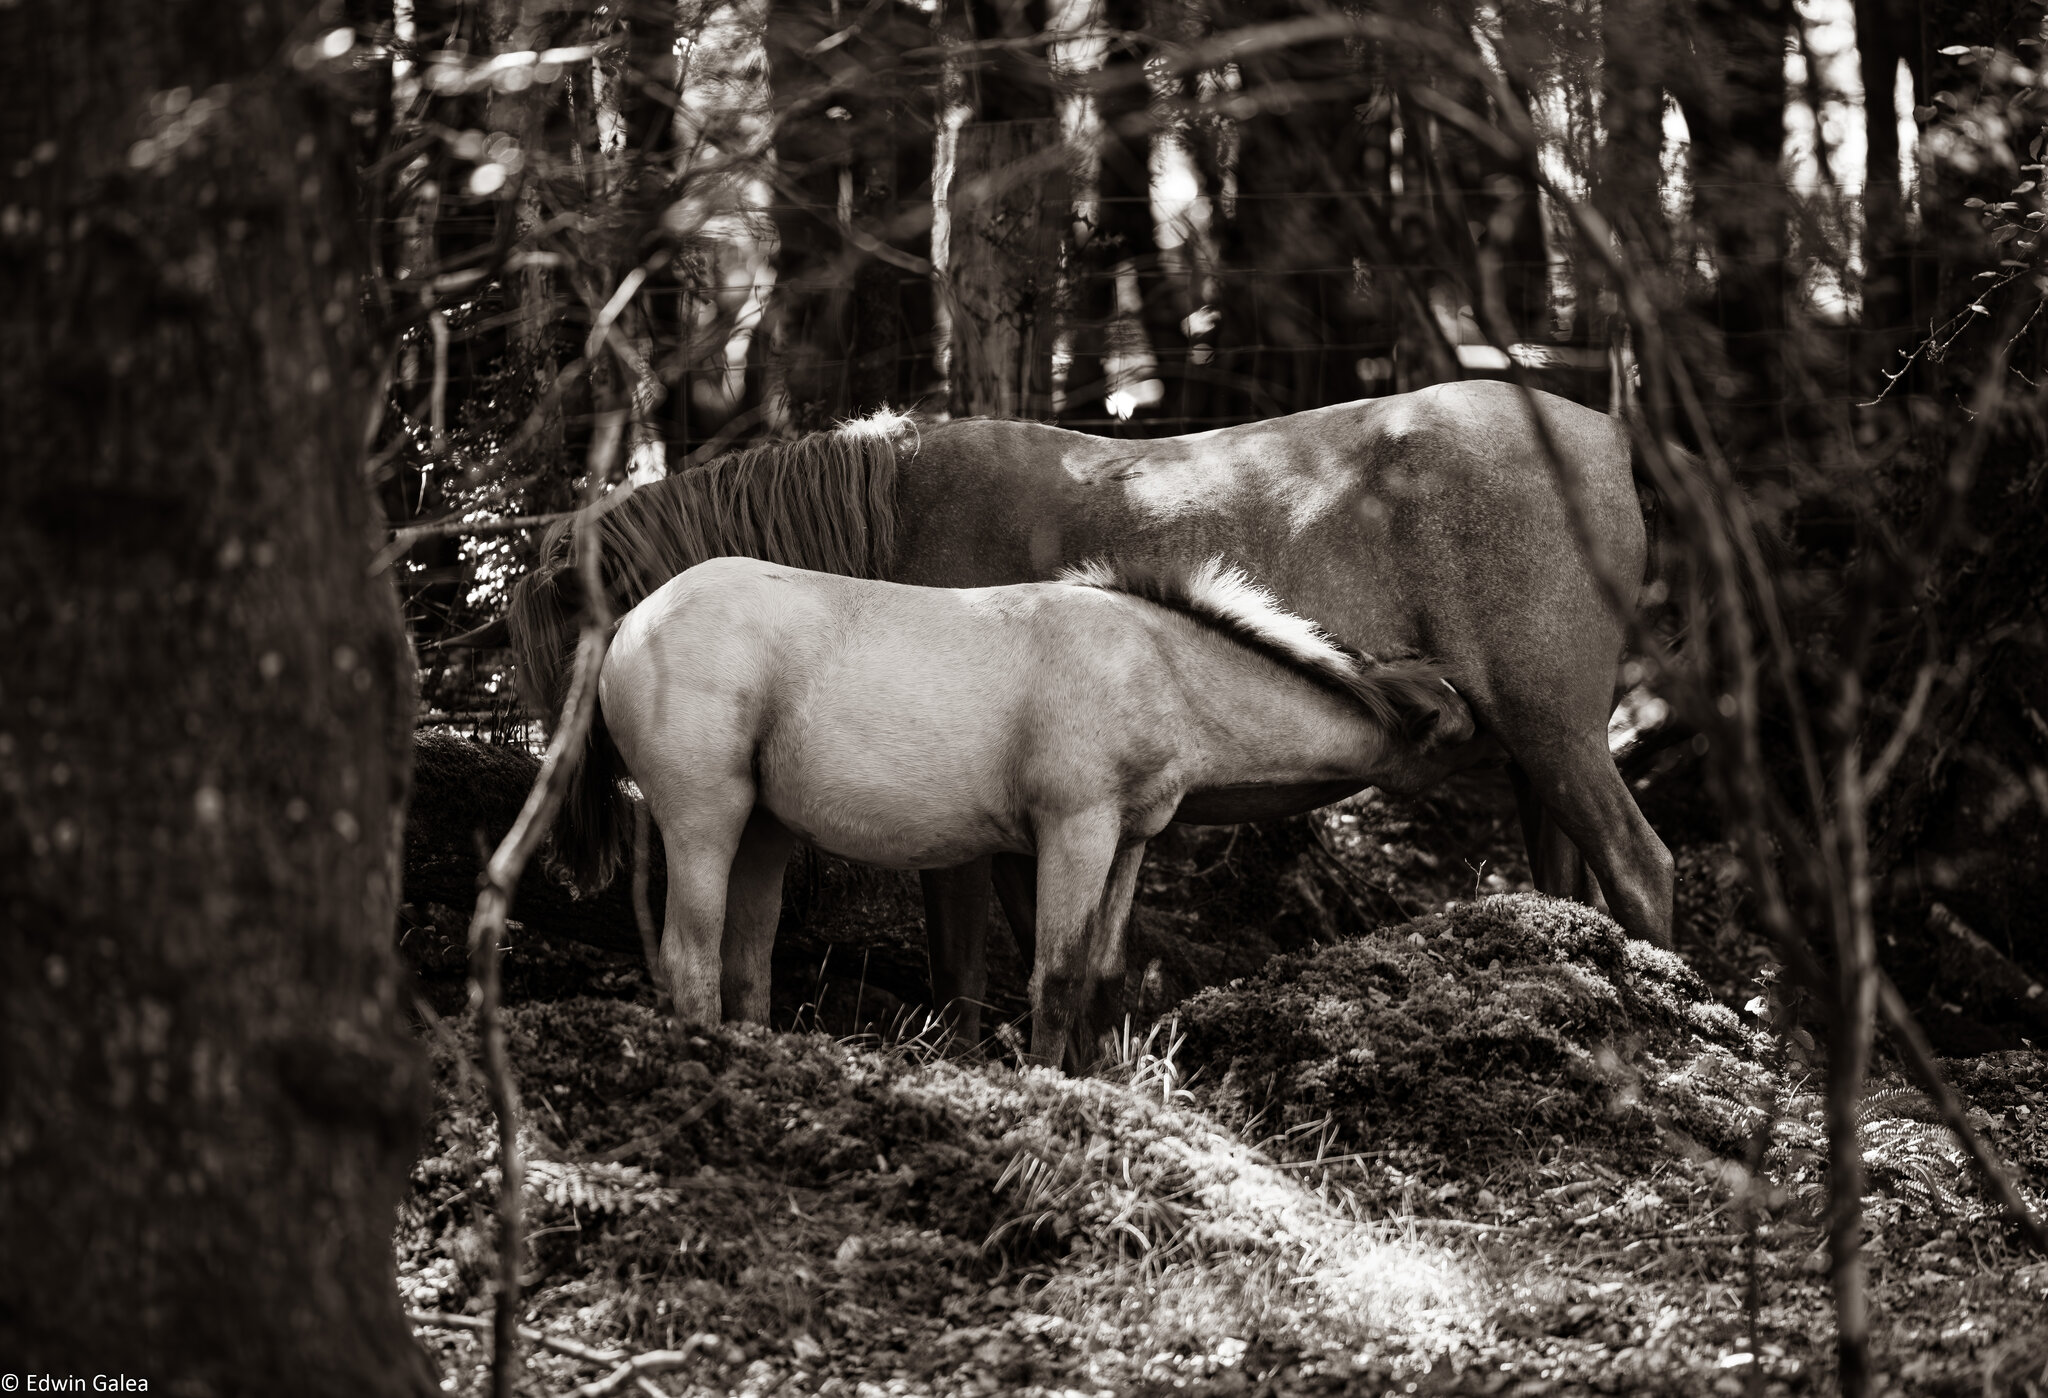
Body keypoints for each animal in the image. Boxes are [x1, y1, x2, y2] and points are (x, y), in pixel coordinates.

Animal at [561, 552, 1490, 1064]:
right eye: (1451, 737)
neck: (1156, 662)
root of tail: (630, 625)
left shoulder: (1129, 839)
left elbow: (1105, 976)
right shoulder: (1076, 830)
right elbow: (1057, 973)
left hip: (763, 830)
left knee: (745, 962)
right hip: (704, 820)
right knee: (689, 955)